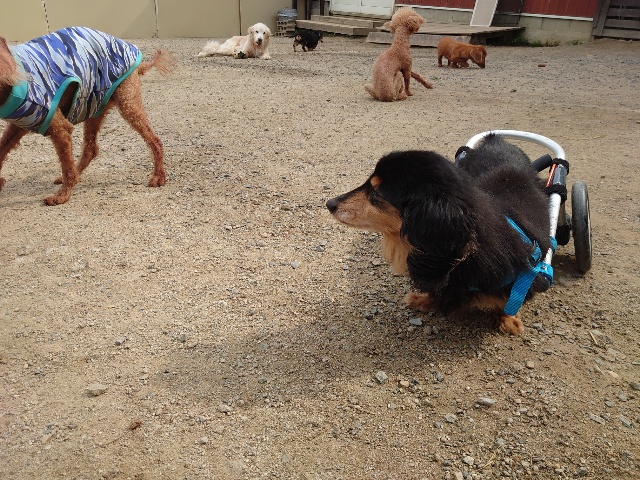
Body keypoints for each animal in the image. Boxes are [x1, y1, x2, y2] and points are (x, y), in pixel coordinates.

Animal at [0, 27, 174, 205]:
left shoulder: (59, 127)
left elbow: (67, 167)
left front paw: (62, 196)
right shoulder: (21, 123)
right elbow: (2, 148)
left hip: (128, 103)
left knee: (155, 140)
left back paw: (159, 177)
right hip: (93, 106)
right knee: (91, 149)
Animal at [326, 135, 552, 335]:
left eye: (377, 193)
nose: (329, 203)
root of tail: (496, 139)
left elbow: (511, 299)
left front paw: (508, 318)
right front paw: (423, 300)